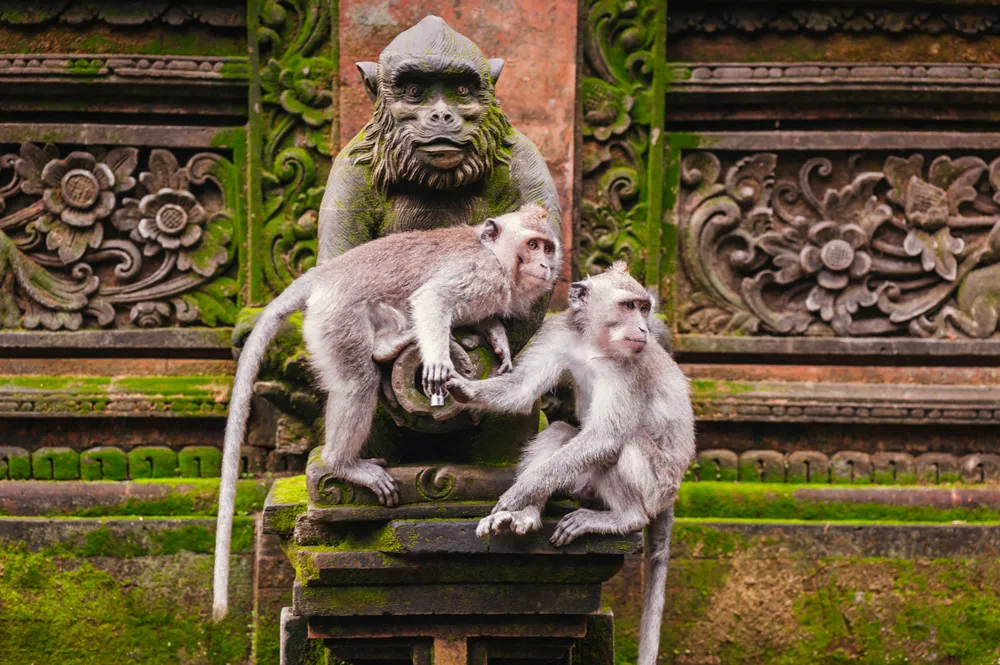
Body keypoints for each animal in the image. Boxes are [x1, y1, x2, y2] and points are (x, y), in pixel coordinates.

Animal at [212, 204, 561, 620]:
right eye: (532, 244)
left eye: (548, 246)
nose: (546, 264)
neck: (498, 260)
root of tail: (325, 273)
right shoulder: (477, 274)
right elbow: (433, 300)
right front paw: (440, 359)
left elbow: (482, 318)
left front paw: (496, 338)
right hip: (336, 320)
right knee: (357, 382)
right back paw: (345, 460)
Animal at [445, 262, 695, 665]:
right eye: (629, 306)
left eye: (644, 307)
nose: (644, 328)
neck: (595, 342)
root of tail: (672, 495)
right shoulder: (558, 333)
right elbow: (521, 390)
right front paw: (464, 389)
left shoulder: (629, 366)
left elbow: (606, 437)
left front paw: (515, 496)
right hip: (589, 483)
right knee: (563, 431)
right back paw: (526, 518)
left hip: (657, 485)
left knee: (621, 447)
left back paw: (623, 518)